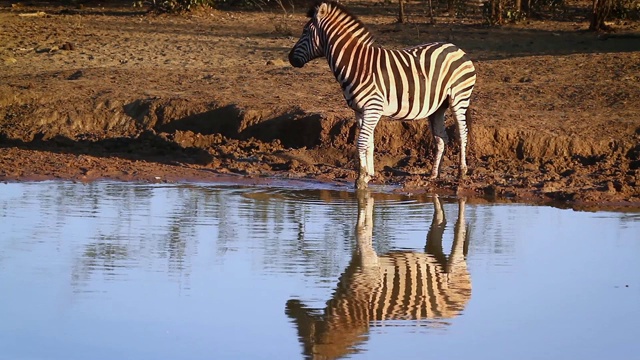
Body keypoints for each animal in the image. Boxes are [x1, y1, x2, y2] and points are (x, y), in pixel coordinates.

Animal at [284, 194, 470, 360]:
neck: (348, 308)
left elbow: (360, 230)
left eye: (307, 339)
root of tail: (461, 305)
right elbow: (367, 224)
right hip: (434, 254)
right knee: (440, 224)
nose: (287, 307)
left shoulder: (368, 264)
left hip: (455, 266)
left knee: (459, 230)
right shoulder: (358, 261)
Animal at [288, 0, 476, 188]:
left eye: (305, 31)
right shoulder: (360, 111)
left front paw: (360, 180)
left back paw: (461, 172)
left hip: (459, 98)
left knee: (462, 133)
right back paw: (434, 174)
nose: (290, 58)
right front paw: (368, 175)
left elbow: (361, 142)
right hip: (438, 106)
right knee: (441, 138)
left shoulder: (373, 107)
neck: (357, 65)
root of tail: (455, 47)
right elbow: (369, 143)